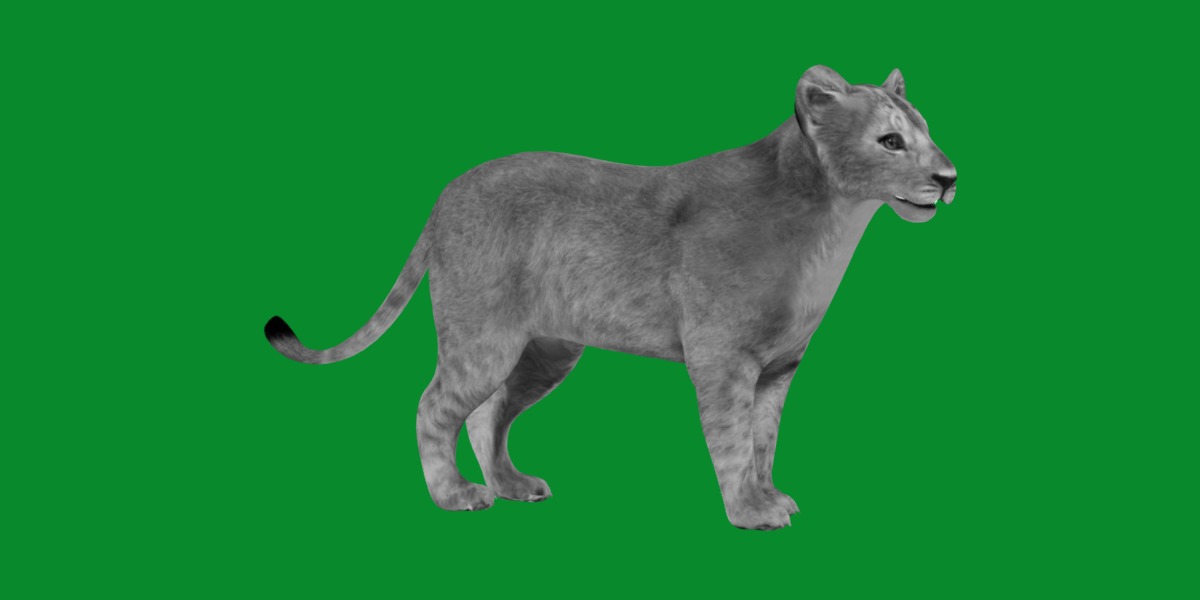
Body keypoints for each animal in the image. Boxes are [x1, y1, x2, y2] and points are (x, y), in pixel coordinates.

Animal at [265, 65, 958, 529]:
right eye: (890, 141)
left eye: (926, 132)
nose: (949, 178)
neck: (830, 225)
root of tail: (445, 194)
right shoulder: (723, 359)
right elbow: (733, 440)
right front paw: (748, 511)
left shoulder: (780, 366)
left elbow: (765, 439)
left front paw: (770, 496)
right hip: (484, 337)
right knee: (433, 406)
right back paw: (456, 495)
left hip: (546, 350)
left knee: (489, 413)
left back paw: (512, 484)